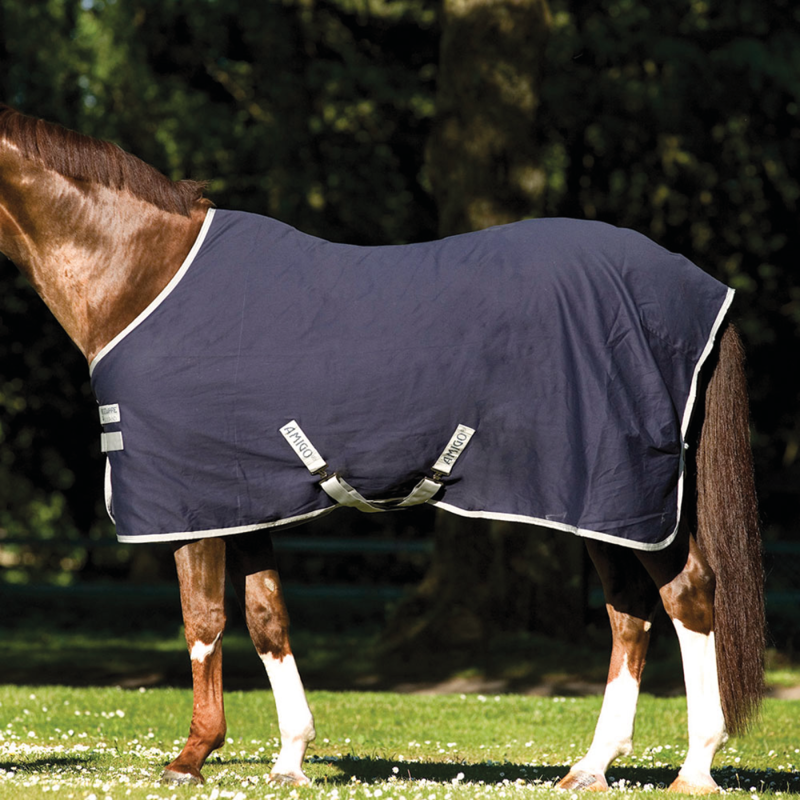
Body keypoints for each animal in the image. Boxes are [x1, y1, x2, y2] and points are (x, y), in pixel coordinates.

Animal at [0, 104, 764, 794]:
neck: (144, 275)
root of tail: (700, 289)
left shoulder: (190, 502)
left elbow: (204, 622)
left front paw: (192, 756)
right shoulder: (242, 499)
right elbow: (266, 617)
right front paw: (289, 757)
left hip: (621, 495)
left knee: (686, 597)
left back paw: (695, 768)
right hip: (601, 504)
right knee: (630, 614)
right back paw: (591, 767)